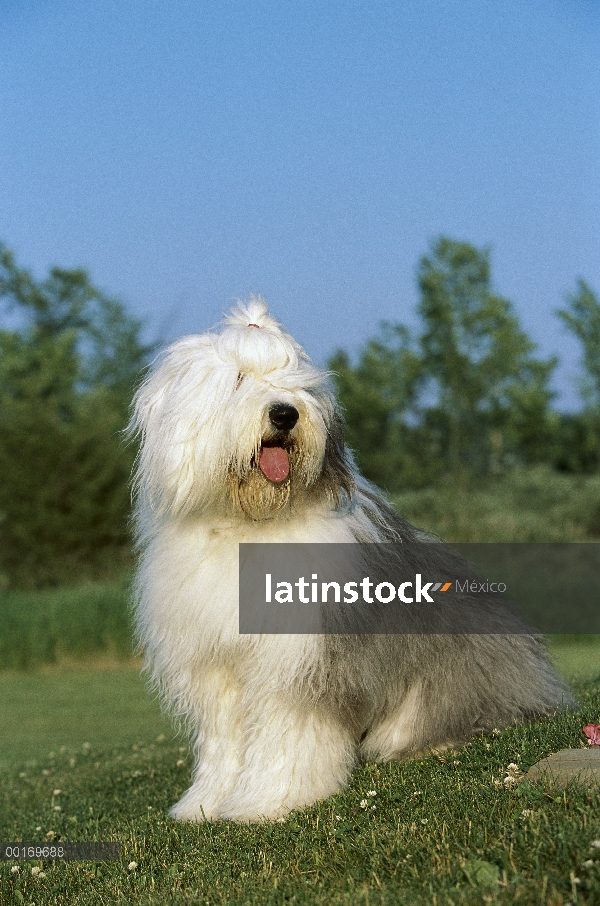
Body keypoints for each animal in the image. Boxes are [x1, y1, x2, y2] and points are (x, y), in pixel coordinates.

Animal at [129, 294, 568, 820]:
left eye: (295, 380)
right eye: (237, 378)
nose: (285, 414)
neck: (249, 524)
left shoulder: (297, 657)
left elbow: (287, 728)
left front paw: (270, 800)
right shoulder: (216, 665)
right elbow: (224, 738)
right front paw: (205, 804)